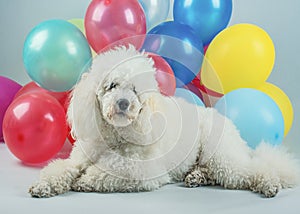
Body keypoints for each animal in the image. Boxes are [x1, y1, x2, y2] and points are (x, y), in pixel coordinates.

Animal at [29, 45, 298, 197]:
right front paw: (45, 186)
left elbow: (112, 168)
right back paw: (197, 177)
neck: (114, 138)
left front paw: (85, 180)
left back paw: (269, 182)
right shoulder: (78, 158)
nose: (123, 103)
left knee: (249, 169)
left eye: (135, 91)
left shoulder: (144, 170)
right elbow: (61, 169)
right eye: (112, 85)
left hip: (223, 156)